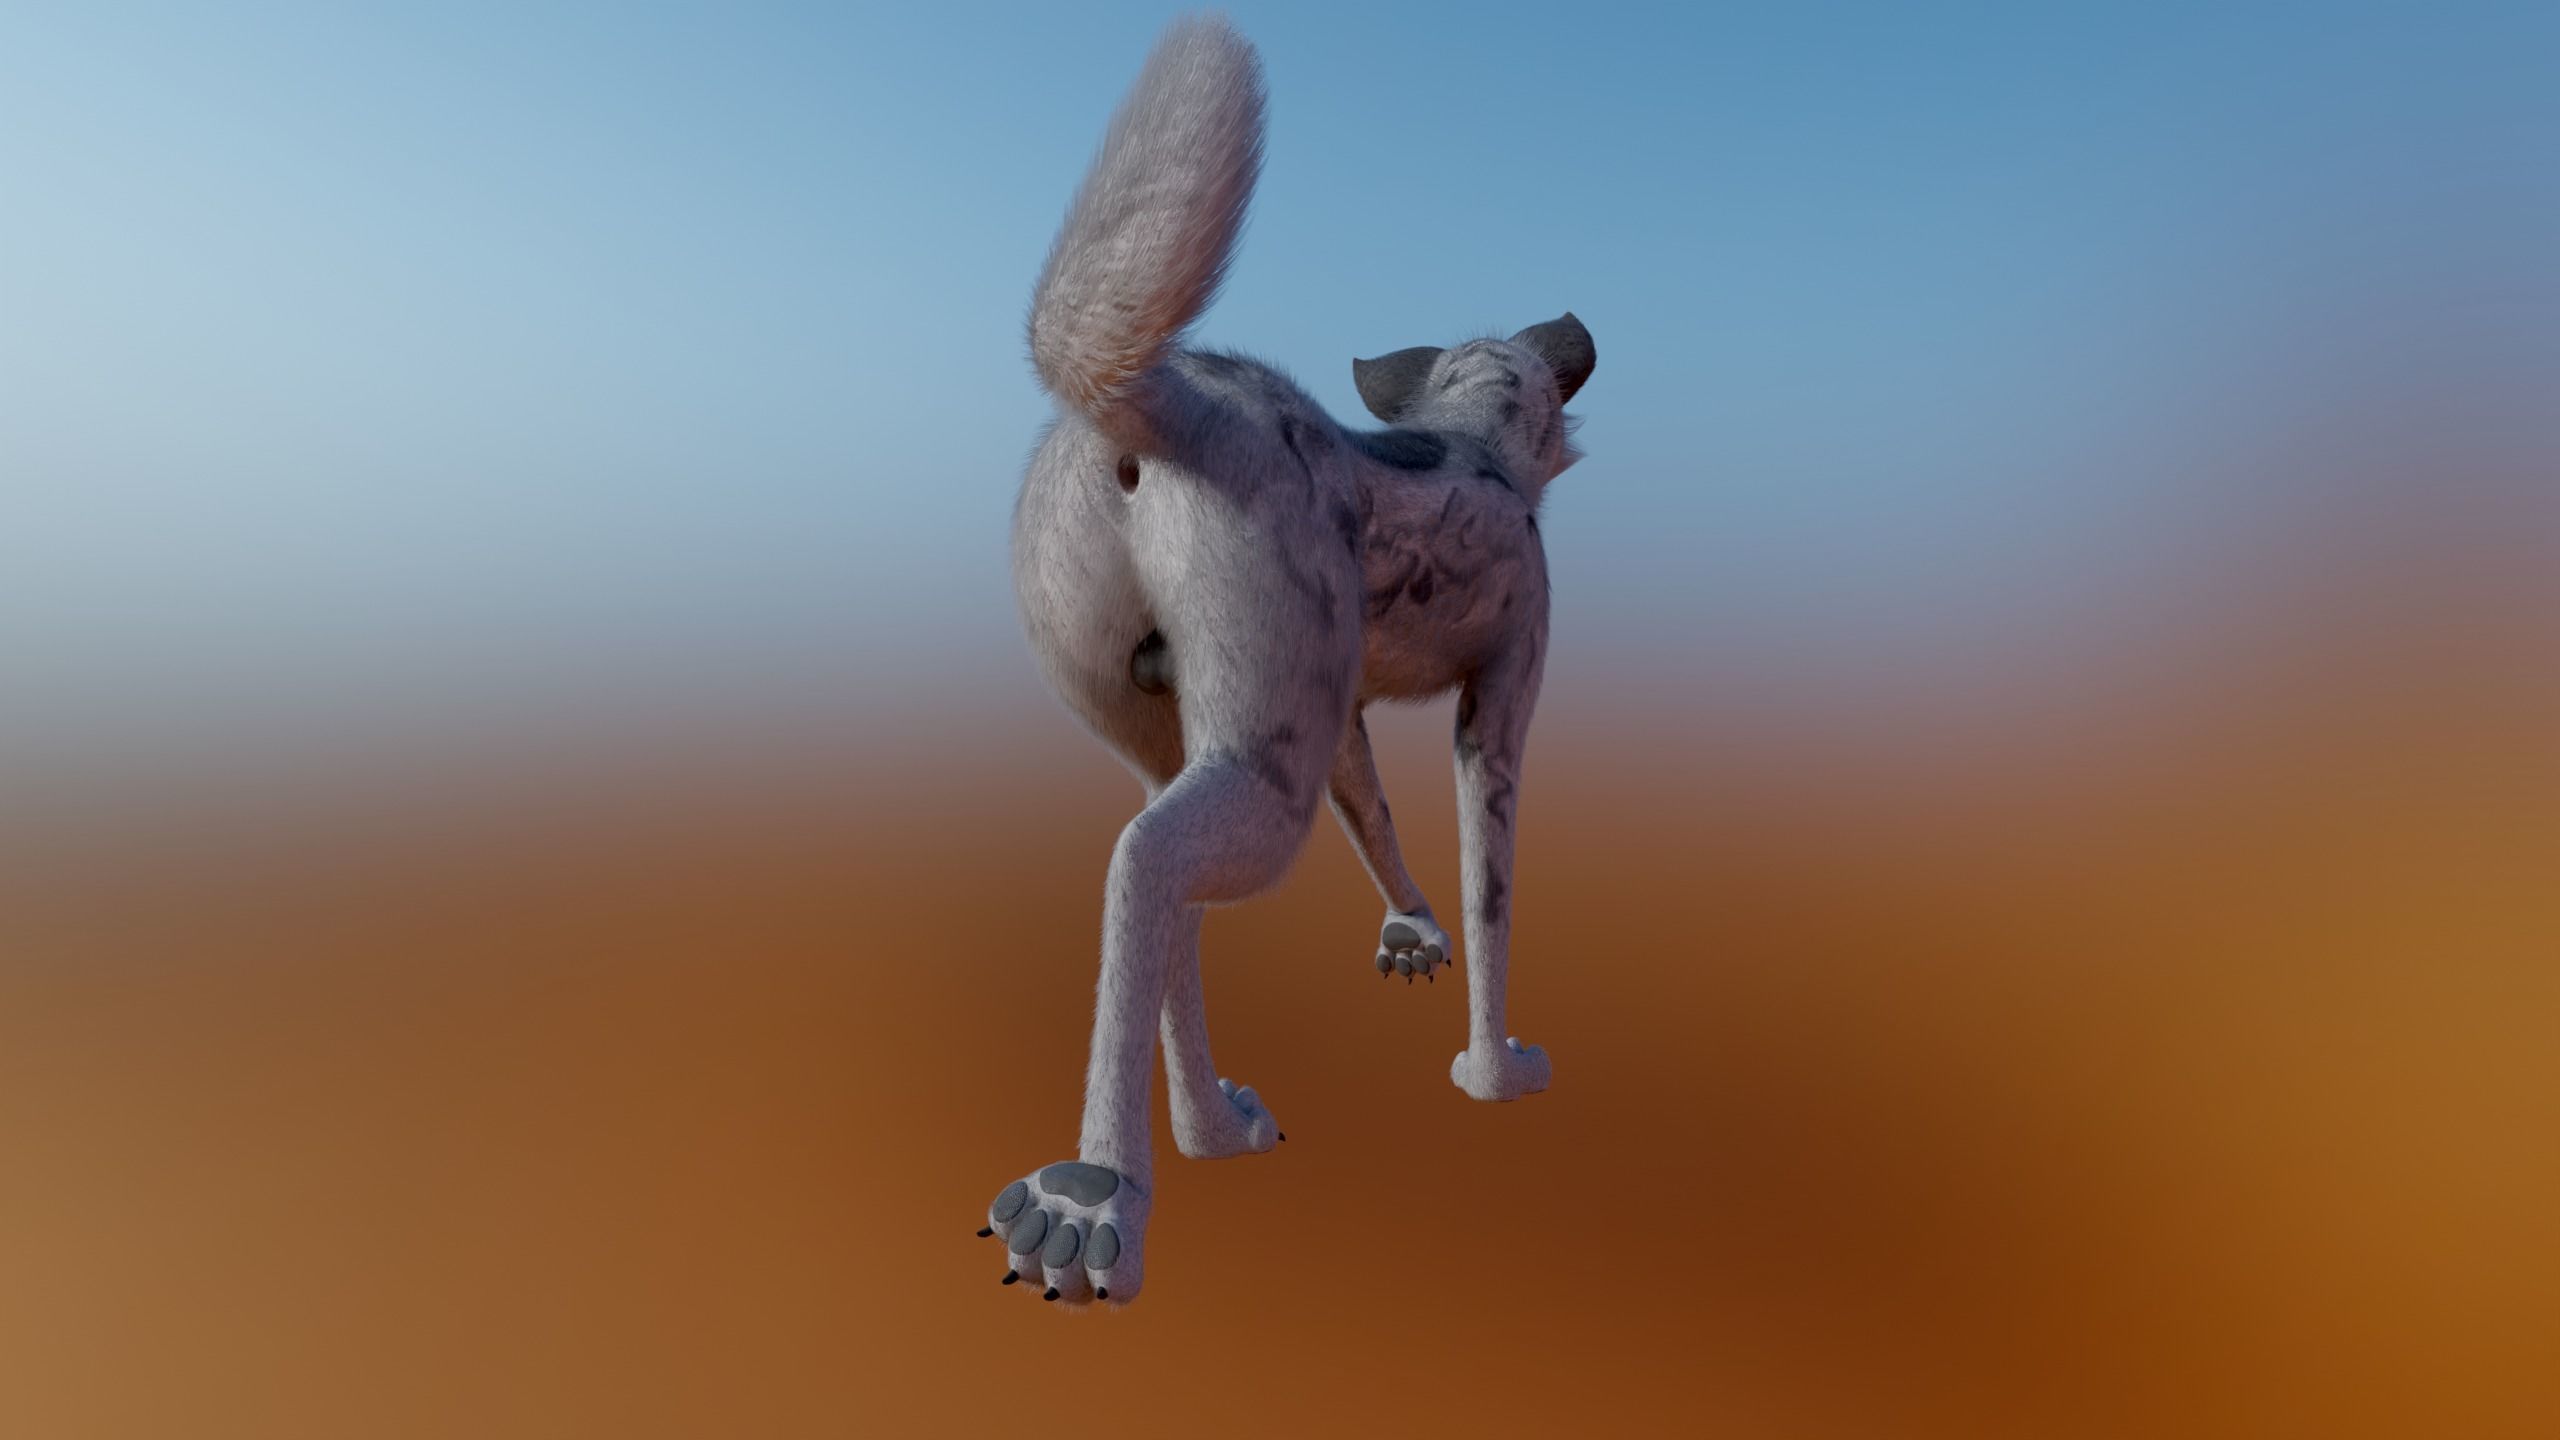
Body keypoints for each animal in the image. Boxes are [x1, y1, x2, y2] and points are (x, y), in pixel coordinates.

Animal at [977, 15, 1594, 1305]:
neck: (1471, 444)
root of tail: (1168, 400)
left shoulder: (1346, 716)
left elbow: (1388, 832)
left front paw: (1409, 935)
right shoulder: (1498, 706)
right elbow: (1492, 892)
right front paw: (1495, 1071)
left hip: (1194, 727)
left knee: (1158, 882)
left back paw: (1210, 1129)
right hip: (1271, 778)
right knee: (1148, 866)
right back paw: (1092, 1197)